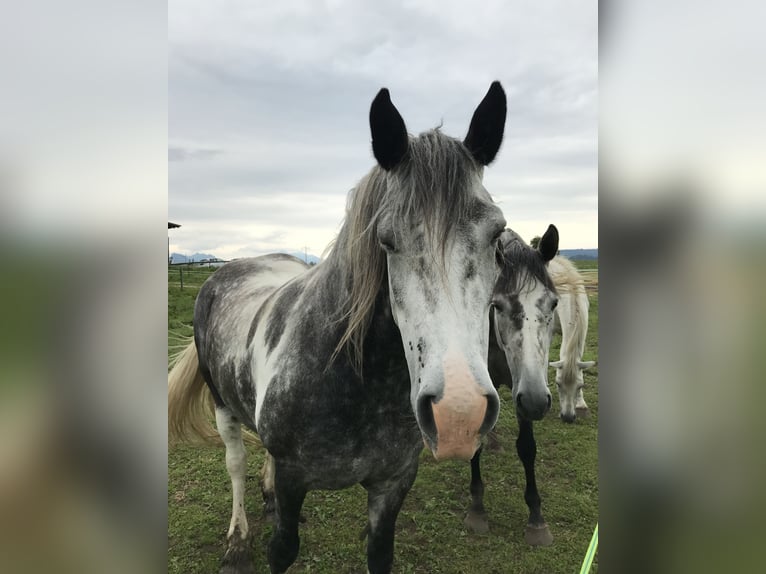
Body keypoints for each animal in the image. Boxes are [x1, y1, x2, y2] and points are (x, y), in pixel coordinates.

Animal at [171, 84, 512, 574]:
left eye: (497, 236)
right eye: (386, 240)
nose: (458, 415)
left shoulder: (393, 483)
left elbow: (379, 553)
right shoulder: (294, 478)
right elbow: (281, 549)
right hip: (221, 404)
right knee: (235, 462)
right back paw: (237, 541)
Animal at [462, 225, 564, 548]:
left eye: (554, 303)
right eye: (497, 305)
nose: (536, 403)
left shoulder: (526, 388)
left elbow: (527, 447)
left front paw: (536, 519)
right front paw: (477, 509)